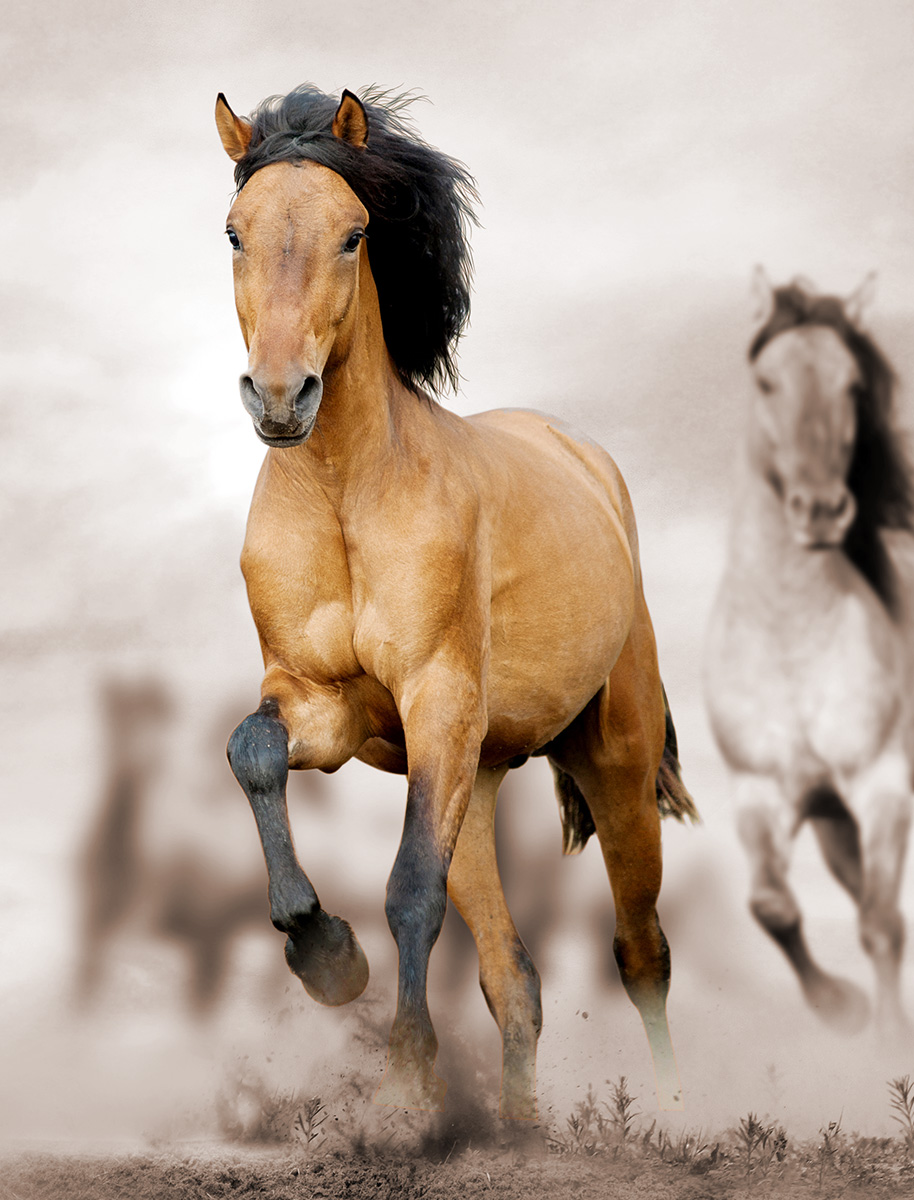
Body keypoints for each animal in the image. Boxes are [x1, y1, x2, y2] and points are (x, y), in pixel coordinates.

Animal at [214, 83, 696, 1118]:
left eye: (354, 233)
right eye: (234, 232)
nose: (280, 397)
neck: (348, 496)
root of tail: (586, 461)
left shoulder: (436, 698)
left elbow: (408, 893)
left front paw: (404, 1081)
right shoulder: (324, 705)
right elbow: (253, 753)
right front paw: (324, 953)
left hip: (614, 765)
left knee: (641, 951)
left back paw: (682, 1115)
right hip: (474, 780)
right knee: (516, 979)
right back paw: (518, 1129)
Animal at [705, 268, 914, 1037]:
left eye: (851, 384)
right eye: (766, 381)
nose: (821, 510)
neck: (791, 637)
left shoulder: (883, 786)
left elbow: (882, 926)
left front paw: (887, 1043)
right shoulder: (764, 794)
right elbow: (774, 908)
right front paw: (843, 1008)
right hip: (835, 829)